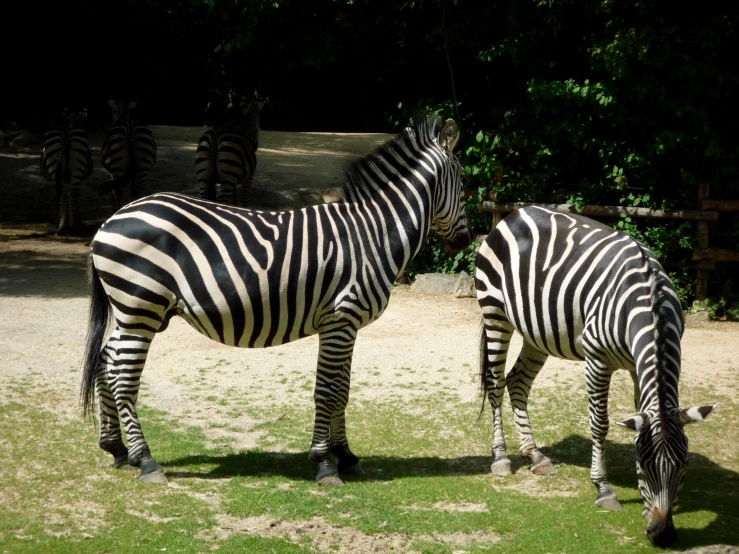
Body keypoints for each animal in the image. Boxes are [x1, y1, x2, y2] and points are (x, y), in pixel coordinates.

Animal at [82, 114, 474, 486]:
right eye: (463, 180)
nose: (467, 240)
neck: (371, 234)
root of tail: (108, 222)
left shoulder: (347, 325)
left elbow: (343, 390)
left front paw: (346, 455)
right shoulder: (340, 319)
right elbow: (328, 391)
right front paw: (325, 463)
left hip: (135, 312)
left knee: (104, 360)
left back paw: (117, 449)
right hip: (141, 308)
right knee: (123, 375)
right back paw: (146, 460)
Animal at [476, 205, 712, 544]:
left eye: (684, 467)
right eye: (645, 467)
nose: (662, 535)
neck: (650, 302)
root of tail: (515, 213)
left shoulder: (637, 367)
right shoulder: (597, 359)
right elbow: (600, 424)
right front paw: (604, 488)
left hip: (538, 332)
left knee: (517, 382)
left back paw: (534, 455)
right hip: (495, 313)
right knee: (495, 384)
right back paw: (501, 458)